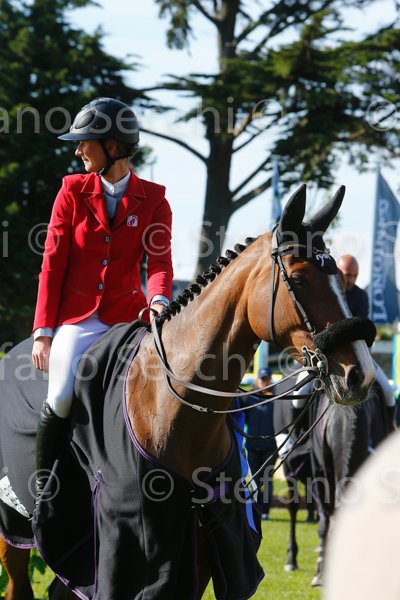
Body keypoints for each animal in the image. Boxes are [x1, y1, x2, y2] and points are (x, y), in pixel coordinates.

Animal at [274, 380, 394, 586]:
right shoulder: (319, 471)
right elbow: (324, 522)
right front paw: (320, 572)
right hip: (290, 469)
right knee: (294, 507)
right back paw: (291, 560)